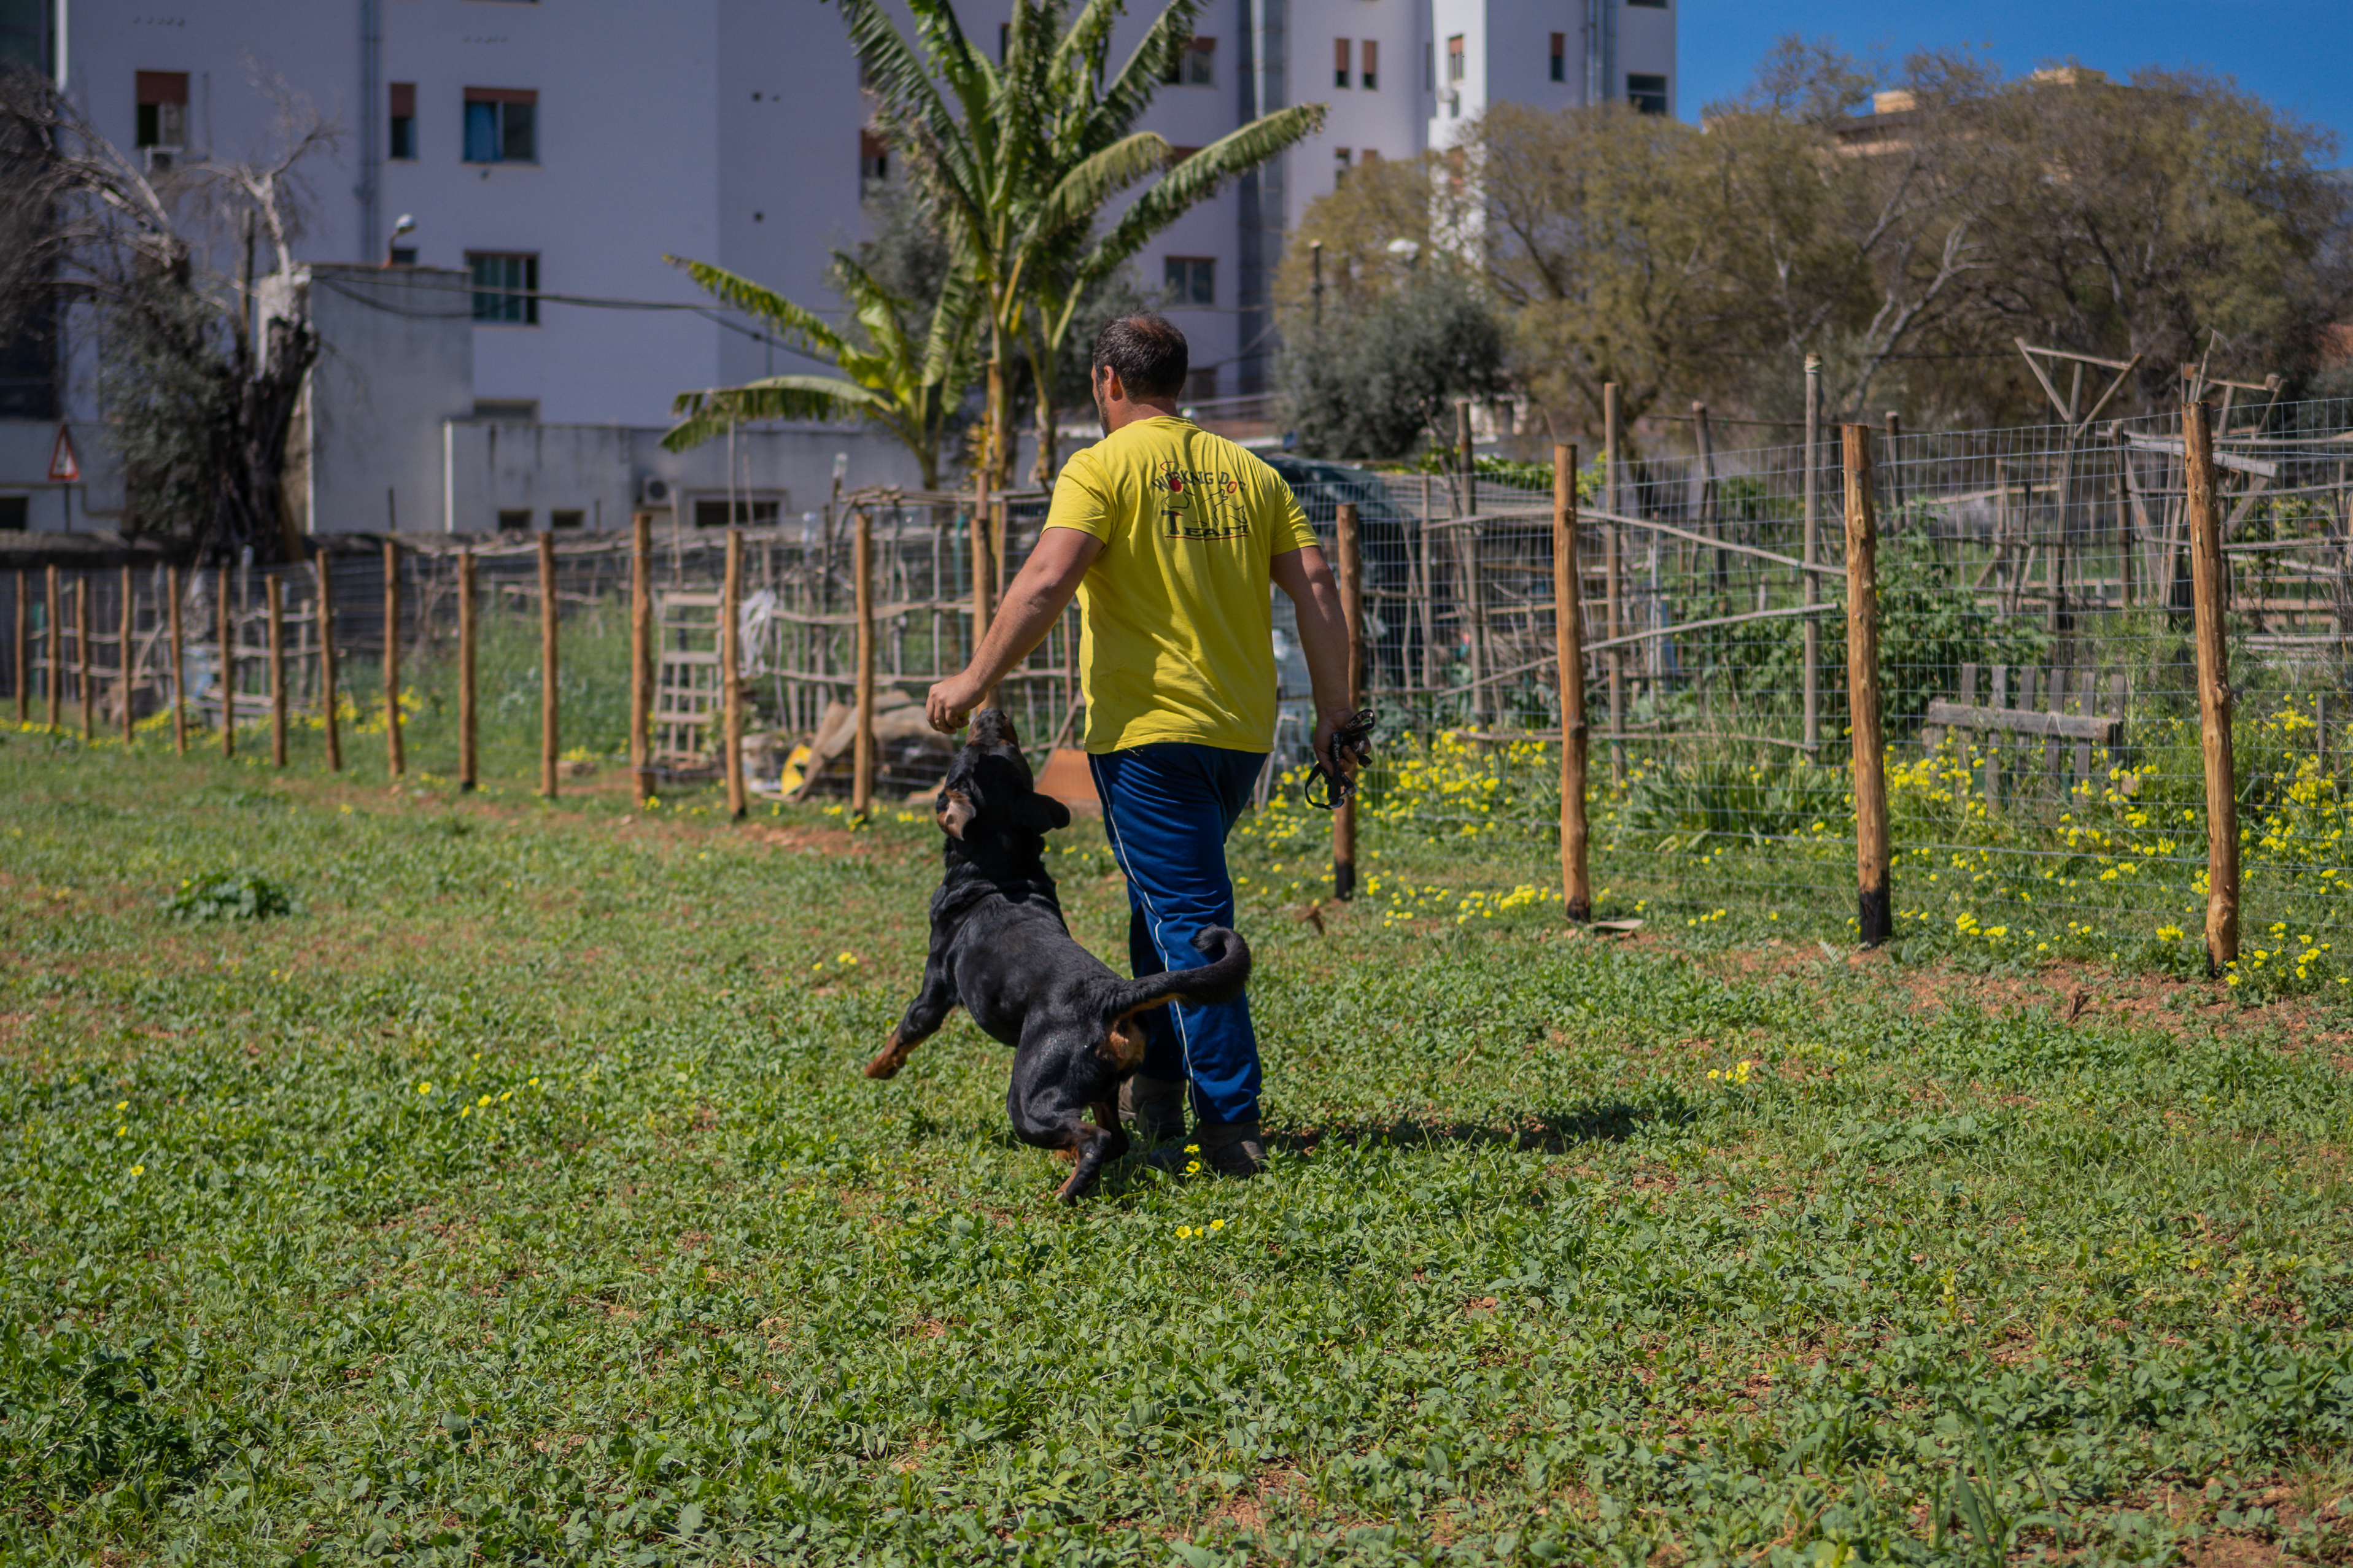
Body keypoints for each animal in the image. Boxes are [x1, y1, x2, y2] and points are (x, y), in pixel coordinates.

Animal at [870, 709, 1252, 1203]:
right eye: (1003, 745)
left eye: (974, 750)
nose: (992, 712)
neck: (998, 870)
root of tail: (1114, 994)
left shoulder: (933, 994)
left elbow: (902, 1033)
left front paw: (875, 1068)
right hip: (1100, 1085)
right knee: (1112, 1138)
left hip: (1031, 1092)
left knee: (1096, 1139)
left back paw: (1067, 1190)